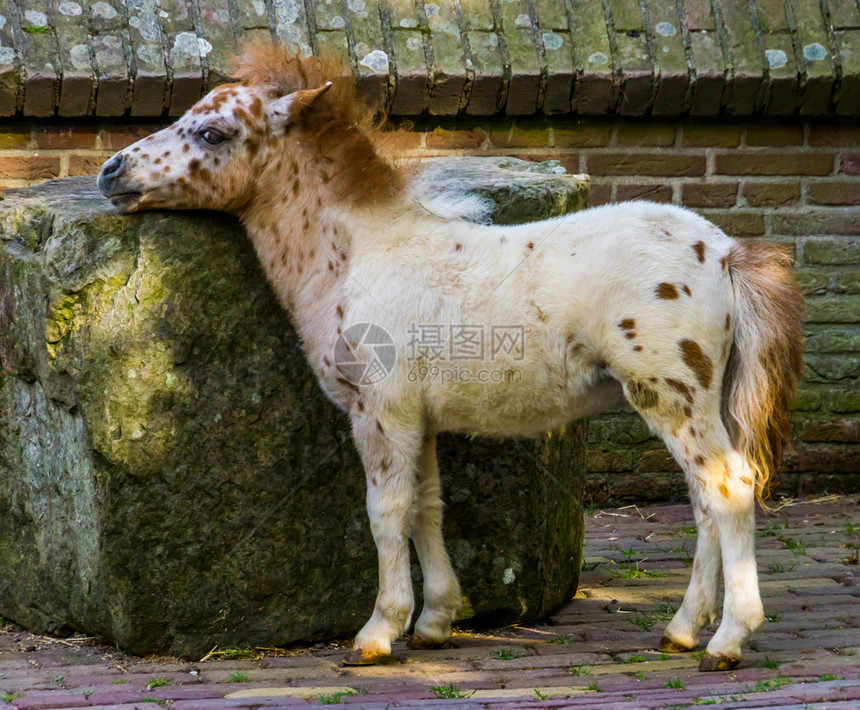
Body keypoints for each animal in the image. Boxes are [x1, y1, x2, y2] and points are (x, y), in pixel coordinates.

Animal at [101, 46, 808, 672]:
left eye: (213, 132)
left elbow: (385, 513)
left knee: (729, 489)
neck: (359, 254)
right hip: (696, 402)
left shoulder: (381, 411)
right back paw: (682, 631)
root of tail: (725, 250)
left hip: (672, 393)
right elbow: (427, 506)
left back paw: (726, 640)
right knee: (703, 502)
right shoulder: (421, 419)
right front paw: (436, 621)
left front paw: (378, 633)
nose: (111, 172)